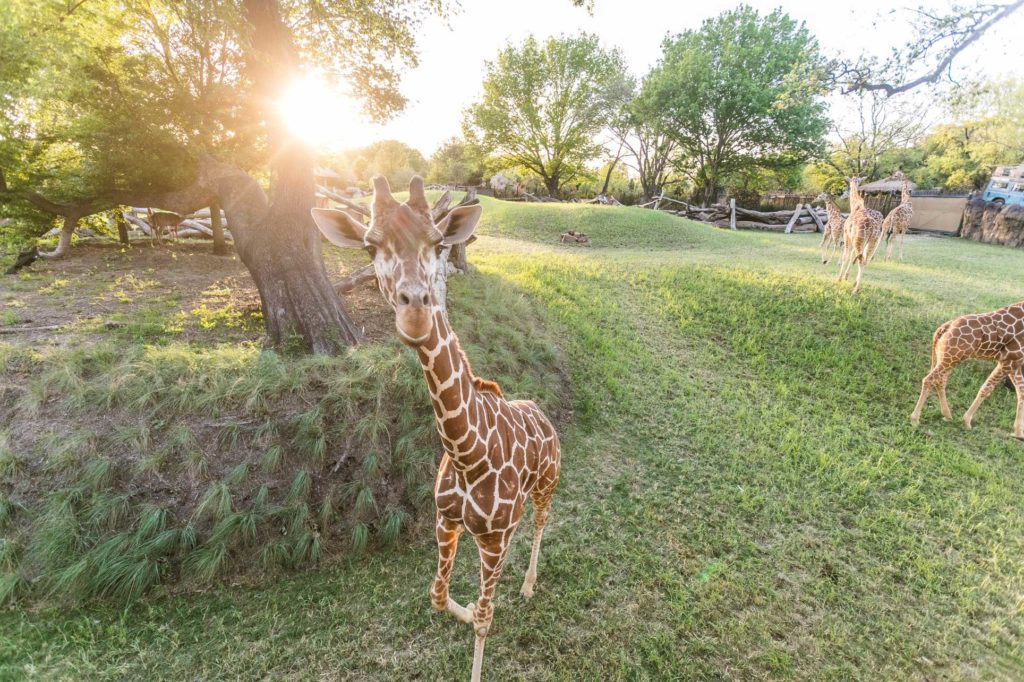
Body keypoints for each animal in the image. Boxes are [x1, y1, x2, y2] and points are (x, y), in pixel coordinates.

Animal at [913, 301, 1024, 438]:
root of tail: (943, 328)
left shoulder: (1016, 361)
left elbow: (1021, 392)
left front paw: (1019, 432)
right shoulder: (1009, 359)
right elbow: (986, 389)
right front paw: (966, 422)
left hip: (947, 357)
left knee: (940, 380)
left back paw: (947, 415)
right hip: (951, 357)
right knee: (929, 379)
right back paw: (915, 419)